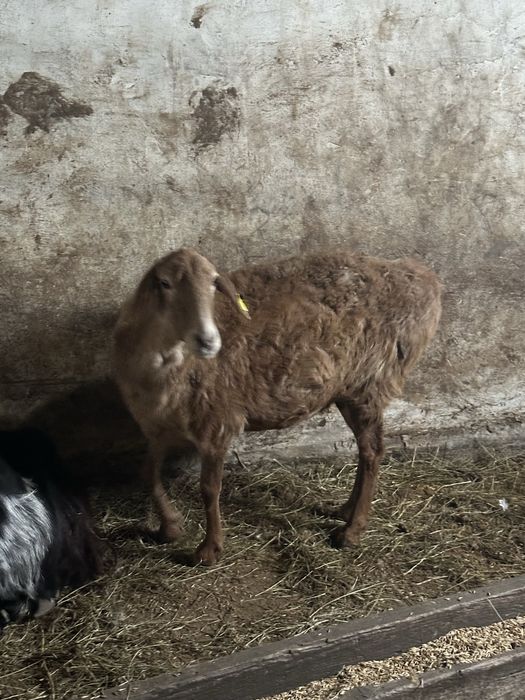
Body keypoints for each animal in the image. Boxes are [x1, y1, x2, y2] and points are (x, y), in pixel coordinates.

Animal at [113, 248, 442, 565]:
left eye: (214, 284)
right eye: (164, 283)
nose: (208, 341)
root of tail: (422, 279)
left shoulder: (217, 423)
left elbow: (209, 489)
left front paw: (209, 550)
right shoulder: (157, 427)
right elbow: (148, 473)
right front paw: (170, 527)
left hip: (370, 382)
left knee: (373, 451)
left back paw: (352, 530)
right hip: (349, 390)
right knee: (365, 450)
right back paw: (345, 510)